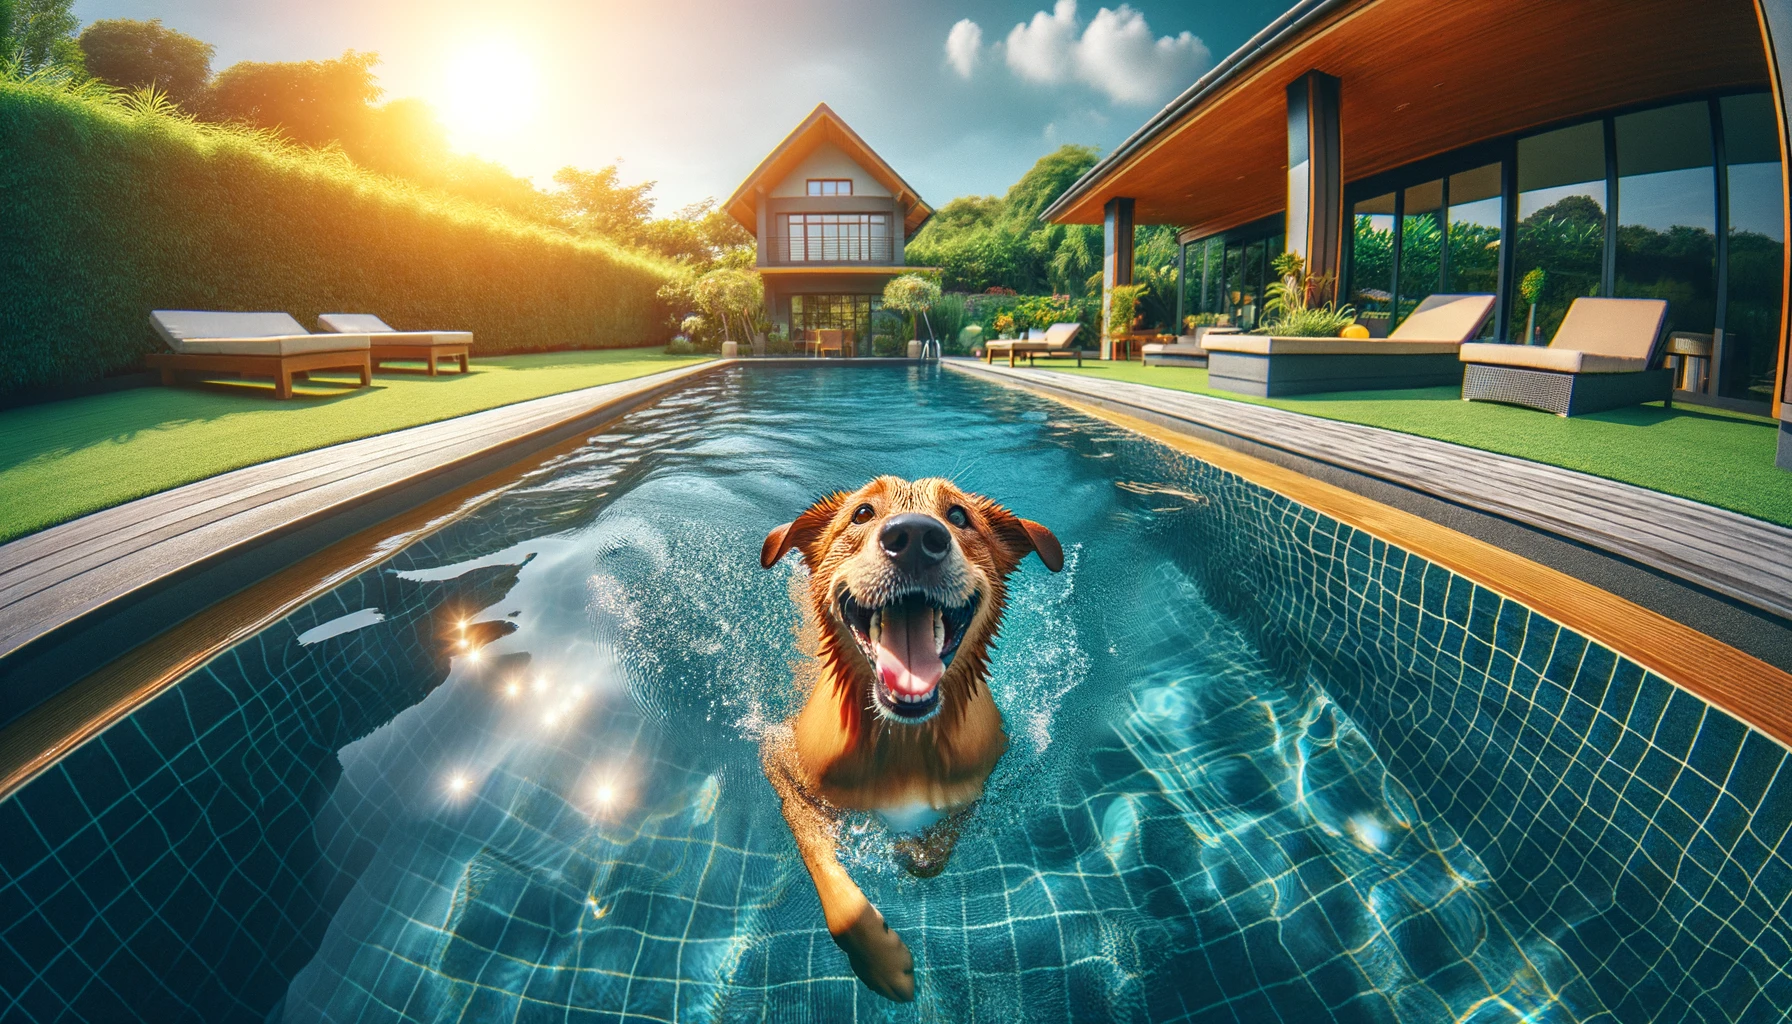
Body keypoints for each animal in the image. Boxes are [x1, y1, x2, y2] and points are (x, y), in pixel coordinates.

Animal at [759, 477, 1060, 997]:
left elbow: (932, 854)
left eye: (958, 516)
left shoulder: (982, 779)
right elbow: (829, 882)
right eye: (862, 513)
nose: (917, 537)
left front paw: (913, 851)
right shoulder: (782, 767)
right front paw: (880, 961)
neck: (904, 741)